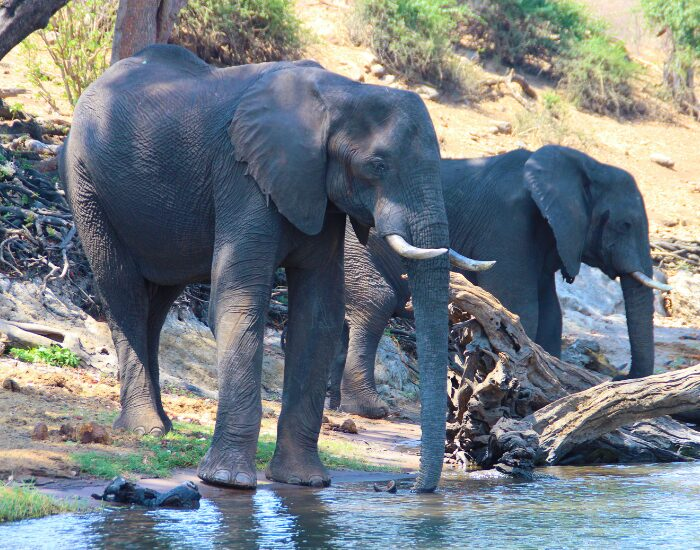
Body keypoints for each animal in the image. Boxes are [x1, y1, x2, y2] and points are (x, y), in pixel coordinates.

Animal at [59, 44, 490, 492]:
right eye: (377, 166)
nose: (412, 488)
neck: (341, 94)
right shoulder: (242, 174)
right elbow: (240, 302)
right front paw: (229, 481)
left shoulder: (319, 195)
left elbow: (318, 316)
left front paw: (303, 482)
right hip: (85, 183)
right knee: (123, 291)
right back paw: (146, 429)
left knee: (158, 299)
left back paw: (162, 425)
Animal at [331, 145, 669, 419]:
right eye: (625, 225)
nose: (618, 379)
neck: (584, 165)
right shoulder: (507, 226)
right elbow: (521, 306)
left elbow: (551, 315)